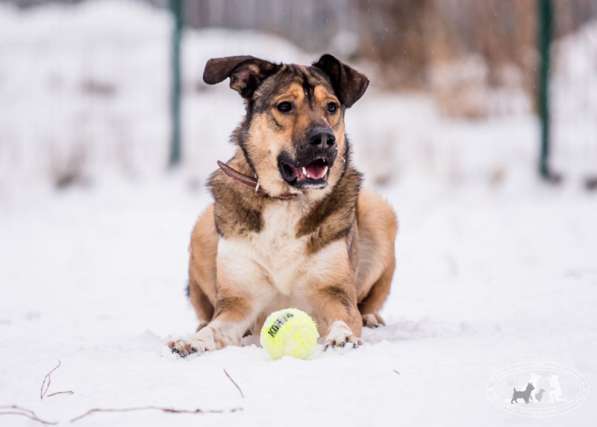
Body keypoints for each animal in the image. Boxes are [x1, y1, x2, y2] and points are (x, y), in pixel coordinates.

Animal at [169, 53, 396, 358]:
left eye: (332, 107)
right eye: (285, 106)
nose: (325, 139)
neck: (286, 200)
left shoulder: (333, 292)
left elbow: (345, 316)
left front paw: (342, 336)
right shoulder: (239, 300)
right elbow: (216, 326)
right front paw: (194, 341)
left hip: (379, 212)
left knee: (368, 302)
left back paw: (371, 317)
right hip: (203, 228)